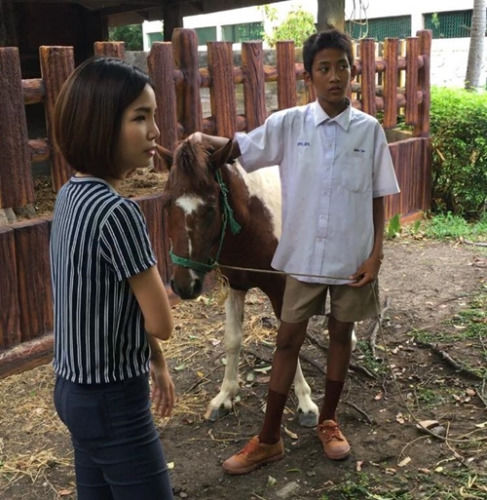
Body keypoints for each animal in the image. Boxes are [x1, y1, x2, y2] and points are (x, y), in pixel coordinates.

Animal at [160, 137, 354, 426]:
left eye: (210, 207)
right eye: (166, 204)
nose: (185, 285)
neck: (254, 222)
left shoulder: (281, 290)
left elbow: (290, 341)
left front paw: (305, 402)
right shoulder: (235, 285)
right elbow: (232, 339)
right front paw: (225, 396)